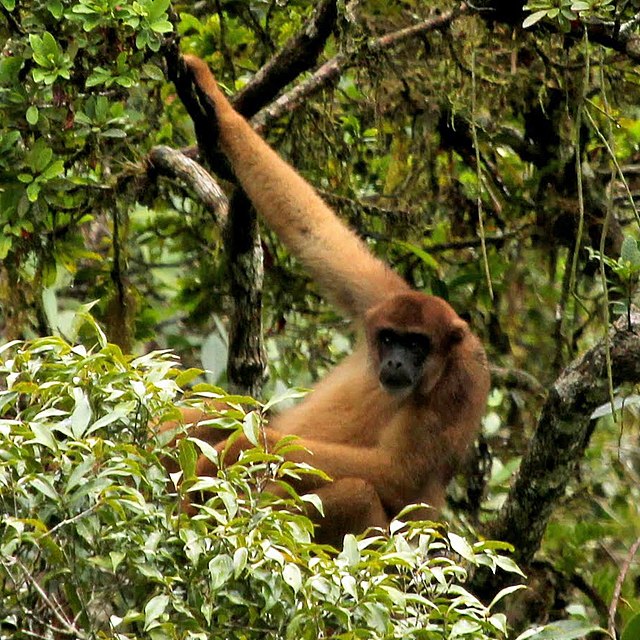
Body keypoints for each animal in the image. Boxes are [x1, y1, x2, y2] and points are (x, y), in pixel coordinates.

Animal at [169, 55, 490, 544]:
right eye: (390, 338)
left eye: (417, 344)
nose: (395, 361)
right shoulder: (385, 298)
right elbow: (316, 236)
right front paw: (211, 99)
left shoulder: (463, 381)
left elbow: (398, 475)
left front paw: (245, 446)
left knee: (358, 491)